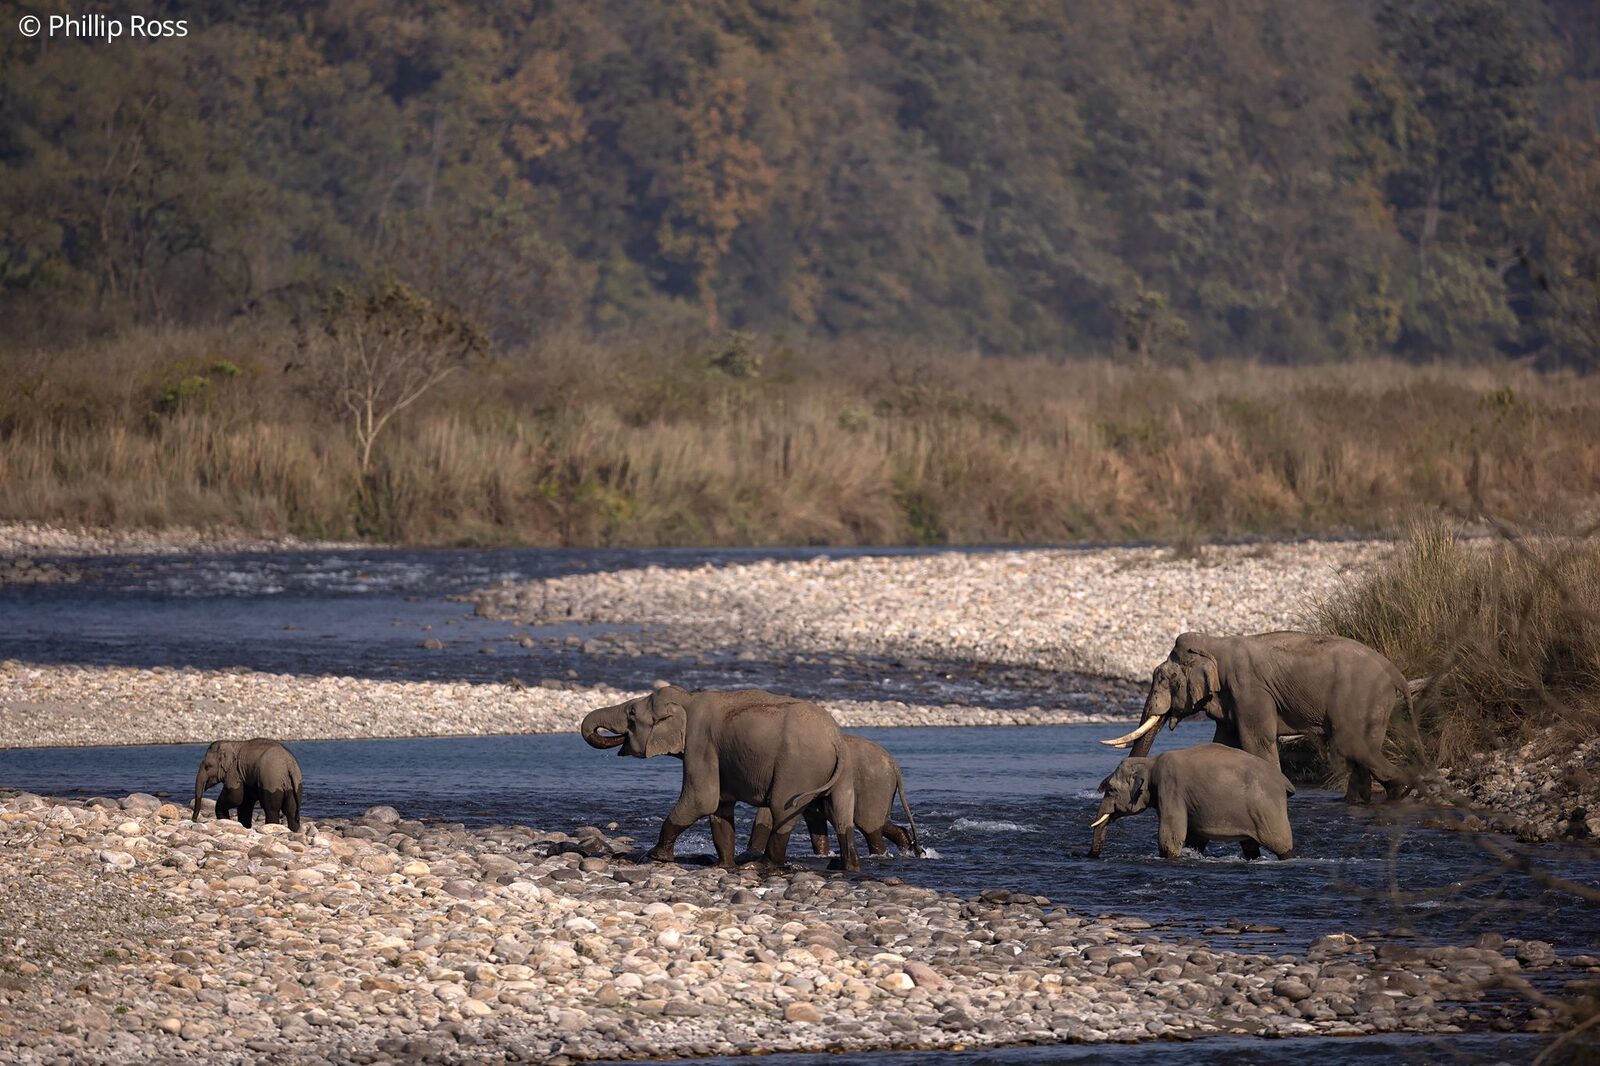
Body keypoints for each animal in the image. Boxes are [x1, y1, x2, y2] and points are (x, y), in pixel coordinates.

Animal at [580, 685, 860, 871]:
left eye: (631, 713)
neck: (688, 700)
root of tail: (834, 737)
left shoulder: (700, 743)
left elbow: (702, 800)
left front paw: (657, 856)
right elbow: (720, 807)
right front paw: (724, 865)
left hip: (797, 767)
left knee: (782, 809)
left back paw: (762, 865)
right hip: (834, 772)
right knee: (834, 813)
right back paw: (847, 868)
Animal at [747, 734, 922, 858]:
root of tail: (894, 764)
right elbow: (814, 816)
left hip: (874, 783)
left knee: (868, 825)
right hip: (882, 787)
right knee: (880, 822)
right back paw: (907, 846)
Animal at [1090, 743, 1296, 859]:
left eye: (1111, 789)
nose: (1089, 856)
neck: (1150, 761)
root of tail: (1286, 782)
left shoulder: (1170, 788)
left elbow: (1171, 835)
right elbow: (1194, 837)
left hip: (1268, 809)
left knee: (1281, 845)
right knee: (1250, 846)